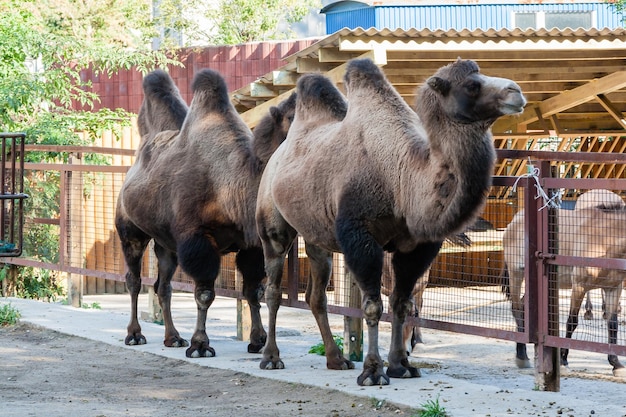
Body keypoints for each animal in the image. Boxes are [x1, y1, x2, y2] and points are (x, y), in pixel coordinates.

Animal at [114, 67, 294, 354]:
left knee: (163, 286)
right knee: (134, 279)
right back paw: (135, 334)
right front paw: (200, 344)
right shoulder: (197, 239)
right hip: (130, 230)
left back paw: (173, 337)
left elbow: (253, 290)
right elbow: (205, 293)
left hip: (166, 244)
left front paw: (257, 340)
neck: (232, 184)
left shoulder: (251, 243)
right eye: (293, 116)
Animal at [256, 57, 524, 386]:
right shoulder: (360, 236)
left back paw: (336, 359)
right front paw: (373, 371)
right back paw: (271, 357)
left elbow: (401, 303)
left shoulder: (417, 246)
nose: (516, 91)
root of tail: (276, 156)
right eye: (472, 85)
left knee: (316, 295)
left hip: (317, 234)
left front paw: (401, 365)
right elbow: (373, 306)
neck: (402, 179)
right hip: (272, 221)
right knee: (272, 287)